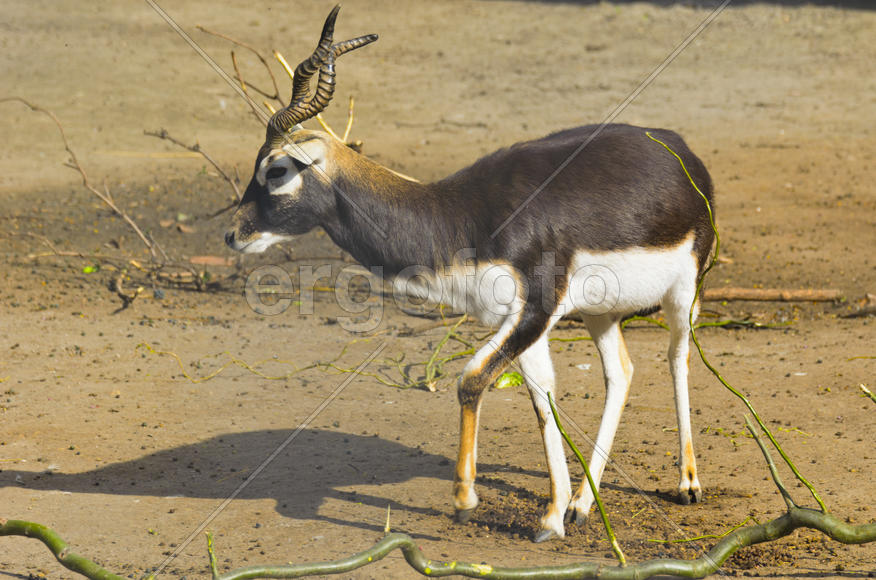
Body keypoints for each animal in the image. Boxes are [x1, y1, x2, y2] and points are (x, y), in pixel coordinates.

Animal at [225, 6, 714, 542]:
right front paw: (552, 515)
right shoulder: (520, 320)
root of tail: (679, 150)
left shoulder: (534, 309)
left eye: (276, 170)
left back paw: (688, 484)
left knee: (678, 357)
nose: (233, 234)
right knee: (621, 372)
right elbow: (541, 395)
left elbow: (471, 378)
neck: (460, 214)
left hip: (684, 293)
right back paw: (583, 505)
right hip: (599, 312)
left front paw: (464, 500)